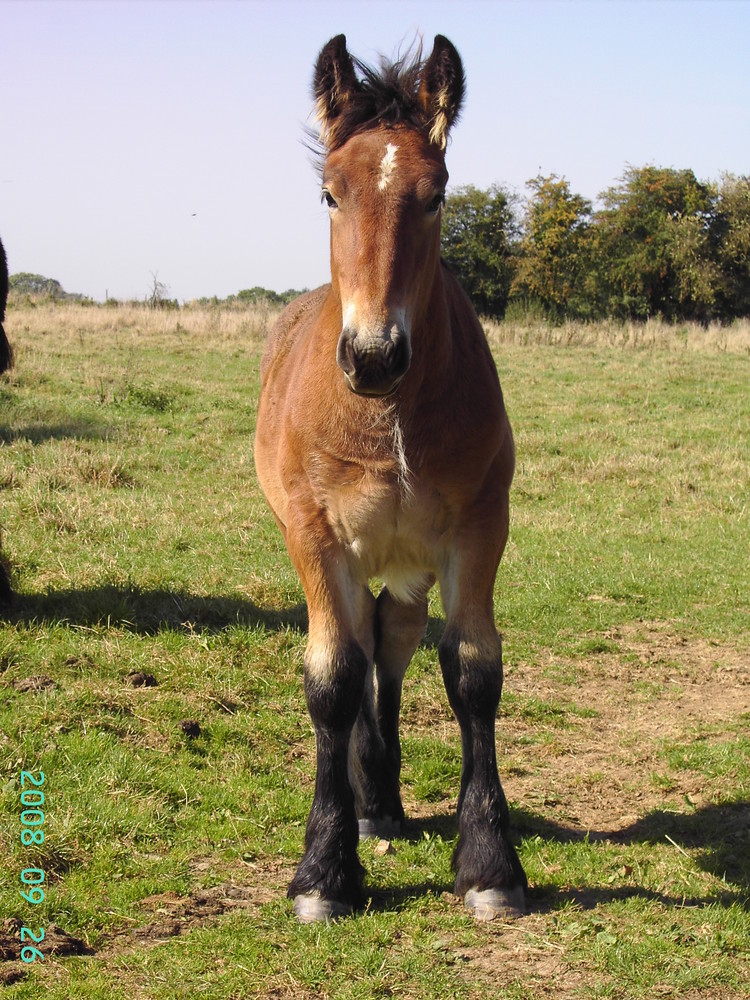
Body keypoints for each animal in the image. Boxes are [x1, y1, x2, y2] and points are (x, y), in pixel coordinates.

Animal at [254, 33, 528, 920]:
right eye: (330, 194)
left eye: (435, 194)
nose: (374, 356)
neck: (389, 418)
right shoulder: (315, 536)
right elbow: (332, 678)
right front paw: (323, 871)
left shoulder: (476, 530)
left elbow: (471, 670)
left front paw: (490, 864)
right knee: (360, 645)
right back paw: (367, 805)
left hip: (407, 564)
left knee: (393, 641)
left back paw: (382, 797)